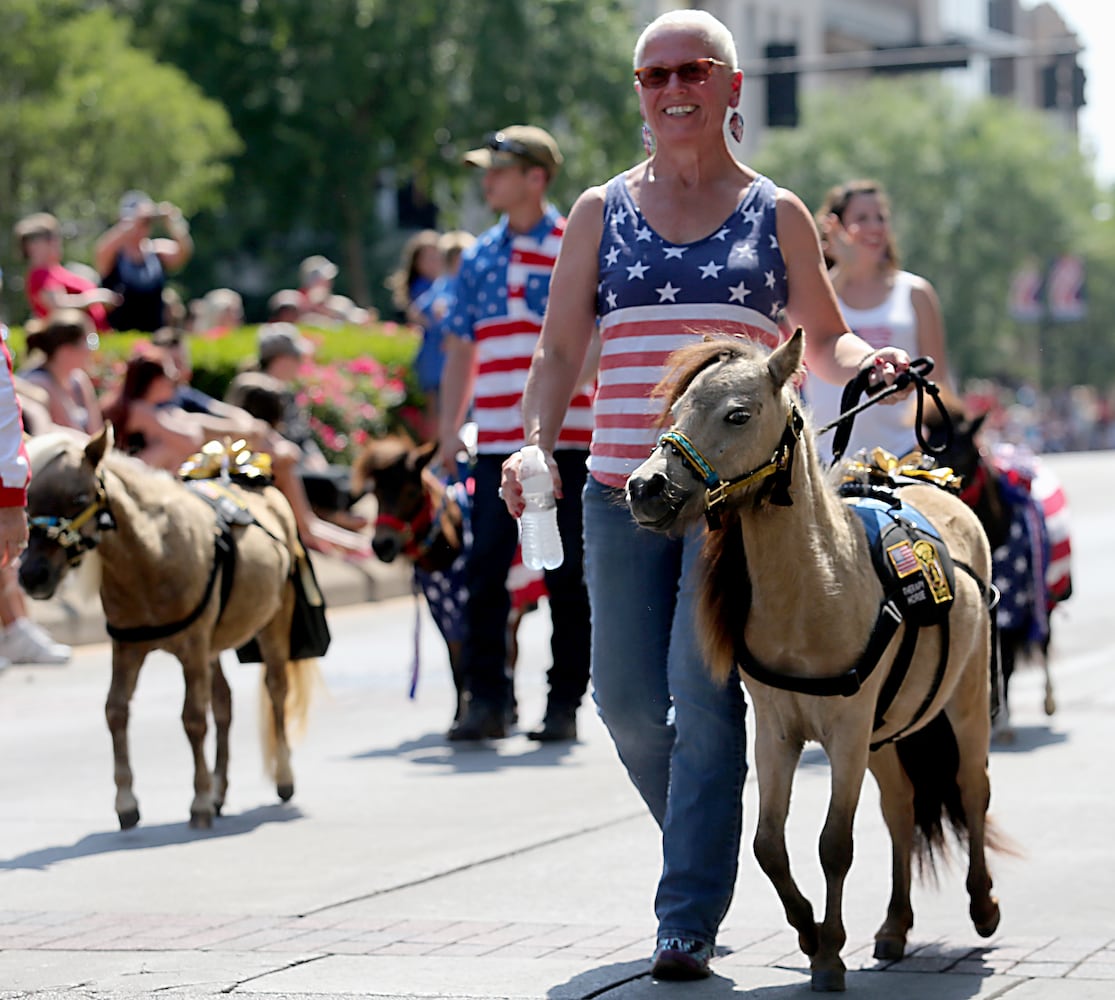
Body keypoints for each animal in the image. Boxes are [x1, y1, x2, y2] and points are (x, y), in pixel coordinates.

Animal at [19, 428, 316, 829]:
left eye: (78, 498)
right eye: (27, 502)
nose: (32, 576)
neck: (152, 555)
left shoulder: (192, 647)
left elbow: (193, 719)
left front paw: (200, 801)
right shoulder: (128, 648)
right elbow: (115, 711)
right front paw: (126, 802)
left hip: (272, 624)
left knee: (276, 691)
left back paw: (282, 777)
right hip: (212, 646)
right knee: (224, 704)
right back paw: (221, 789)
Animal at [628, 334, 1003, 989]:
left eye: (738, 414)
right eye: (675, 412)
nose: (645, 487)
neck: (818, 586)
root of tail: (922, 479)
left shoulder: (847, 731)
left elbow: (835, 844)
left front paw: (829, 955)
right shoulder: (777, 731)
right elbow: (768, 845)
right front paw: (809, 934)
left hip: (965, 700)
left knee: (971, 786)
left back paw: (982, 905)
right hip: (883, 734)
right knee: (901, 806)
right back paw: (894, 925)